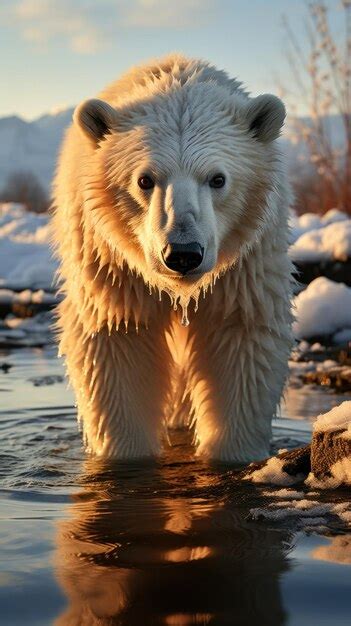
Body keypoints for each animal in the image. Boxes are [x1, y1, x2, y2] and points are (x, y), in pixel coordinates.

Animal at [53, 53, 294, 460]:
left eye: (217, 178)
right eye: (144, 179)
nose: (183, 254)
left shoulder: (244, 266)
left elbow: (240, 336)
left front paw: (232, 453)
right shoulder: (113, 266)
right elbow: (118, 340)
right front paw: (127, 454)